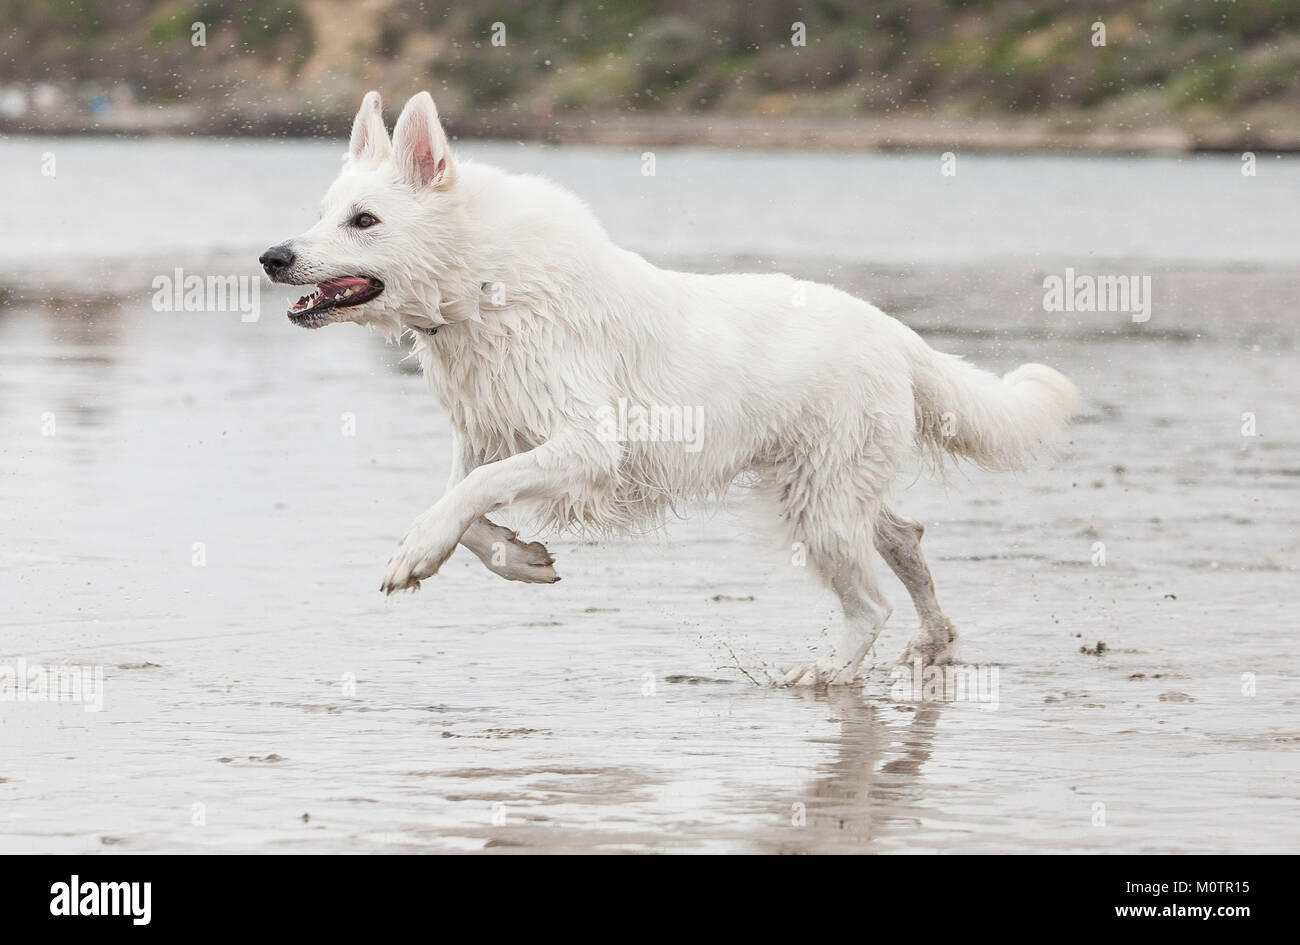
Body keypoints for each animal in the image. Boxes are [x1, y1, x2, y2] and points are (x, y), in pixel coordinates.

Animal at [258, 92, 1081, 686]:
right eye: (323, 213)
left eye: (365, 220)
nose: (272, 257)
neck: (483, 285)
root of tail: (895, 333)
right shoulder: (487, 436)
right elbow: (469, 510)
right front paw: (520, 558)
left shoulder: (586, 445)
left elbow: (465, 501)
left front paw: (417, 553)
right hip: (831, 490)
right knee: (906, 539)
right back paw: (935, 642)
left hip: (818, 505)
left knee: (870, 603)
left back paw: (826, 675)